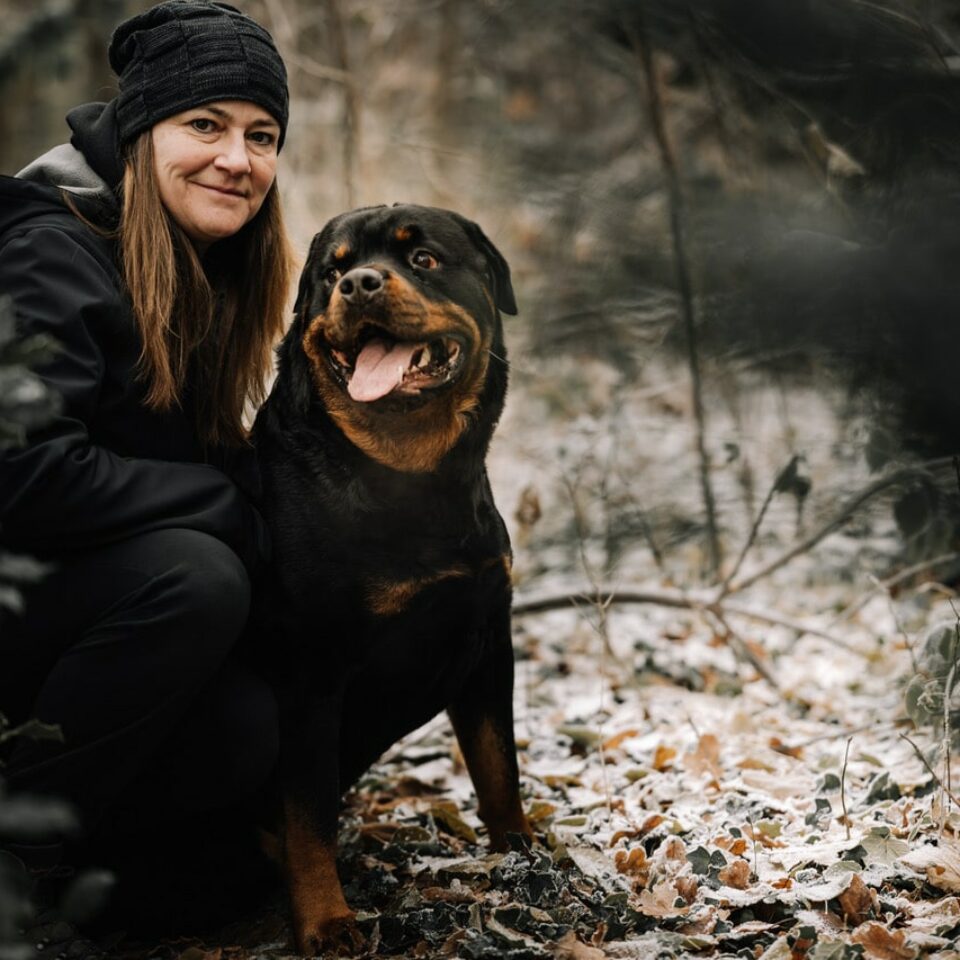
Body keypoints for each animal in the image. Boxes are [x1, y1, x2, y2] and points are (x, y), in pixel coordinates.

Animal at [251, 202, 532, 952]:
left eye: (424, 258)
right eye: (334, 272)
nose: (360, 284)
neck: (410, 479)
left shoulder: (487, 639)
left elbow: (499, 767)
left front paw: (521, 856)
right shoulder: (309, 675)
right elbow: (308, 817)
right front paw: (326, 920)